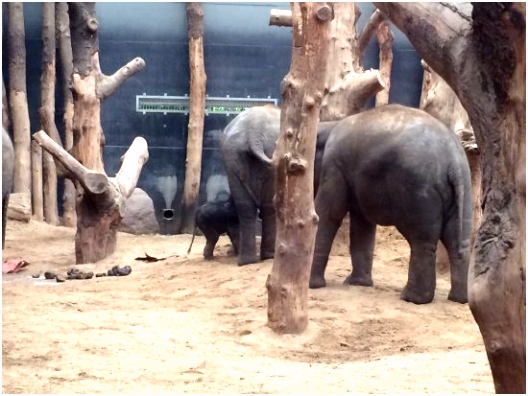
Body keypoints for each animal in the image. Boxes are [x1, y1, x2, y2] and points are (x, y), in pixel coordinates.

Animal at [308, 103, 472, 304]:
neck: (328, 126)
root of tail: (454, 160)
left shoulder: (334, 166)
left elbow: (328, 213)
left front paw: (312, 286)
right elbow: (363, 223)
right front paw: (357, 283)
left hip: (418, 189)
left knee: (421, 241)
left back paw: (411, 298)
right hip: (462, 190)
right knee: (457, 241)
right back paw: (459, 298)